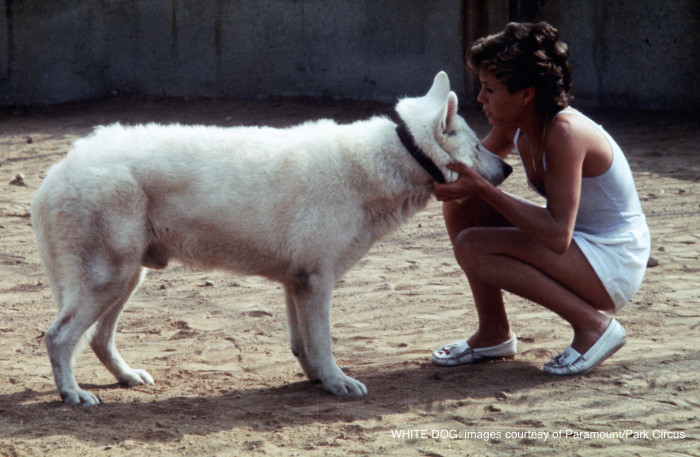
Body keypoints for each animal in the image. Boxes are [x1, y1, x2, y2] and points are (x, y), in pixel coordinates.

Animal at [31, 72, 508, 406]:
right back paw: (72, 395)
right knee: (58, 337)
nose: (506, 169)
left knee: (96, 338)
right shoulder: (316, 281)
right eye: (478, 147)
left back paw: (127, 378)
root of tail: (57, 172)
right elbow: (323, 343)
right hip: (110, 280)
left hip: (127, 279)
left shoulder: (296, 282)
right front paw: (338, 383)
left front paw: (318, 379)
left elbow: (304, 345)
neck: (390, 157)